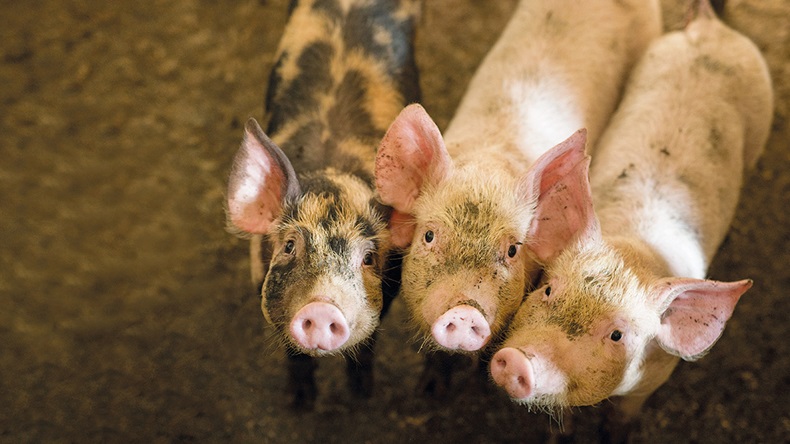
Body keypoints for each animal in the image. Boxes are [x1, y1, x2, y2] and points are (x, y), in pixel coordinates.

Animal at [225, 0, 421, 408]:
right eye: (288, 246)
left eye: (368, 258)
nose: (321, 305)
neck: (332, 177)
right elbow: (294, 355)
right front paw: (300, 404)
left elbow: (367, 347)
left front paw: (361, 395)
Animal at [490, 0, 773, 439]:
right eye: (548, 290)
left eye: (617, 335)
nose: (517, 360)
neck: (636, 250)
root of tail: (709, 29)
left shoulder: (651, 383)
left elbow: (624, 415)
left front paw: (615, 433)